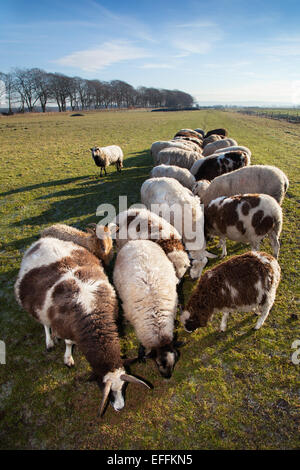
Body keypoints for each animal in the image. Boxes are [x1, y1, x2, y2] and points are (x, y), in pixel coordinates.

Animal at [14, 227, 150, 414]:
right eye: (106, 389)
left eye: (123, 387)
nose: (120, 408)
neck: (92, 314)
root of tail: (42, 241)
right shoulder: (68, 326)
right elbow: (69, 342)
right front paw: (68, 359)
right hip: (37, 306)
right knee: (45, 324)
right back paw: (50, 341)